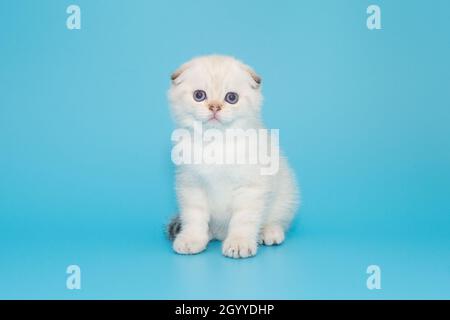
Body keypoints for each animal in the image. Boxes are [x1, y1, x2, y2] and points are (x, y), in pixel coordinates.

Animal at [166, 55, 298, 258]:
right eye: (199, 95)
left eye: (231, 98)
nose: (214, 107)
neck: (216, 144)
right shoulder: (191, 186)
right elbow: (194, 217)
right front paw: (191, 240)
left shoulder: (250, 188)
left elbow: (243, 220)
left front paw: (239, 243)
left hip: (286, 194)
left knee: (277, 218)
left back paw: (268, 232)